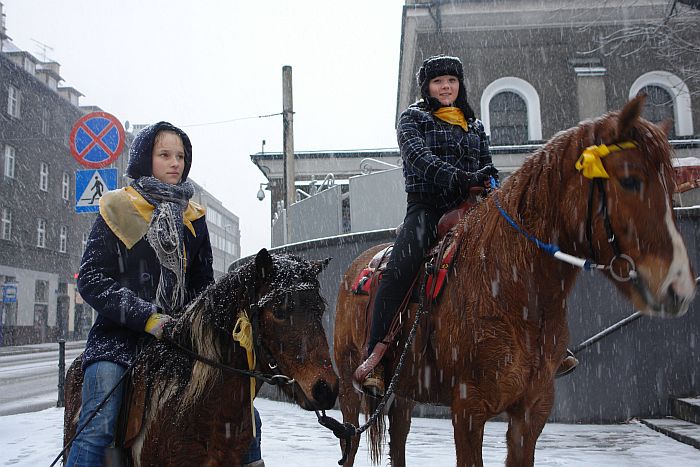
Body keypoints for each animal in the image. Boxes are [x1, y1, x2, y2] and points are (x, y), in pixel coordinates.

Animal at [332, 96, 696, 467]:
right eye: (630, 180)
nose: (678, 288)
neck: (513, 290)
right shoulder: (468, 409)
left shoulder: (532, 410)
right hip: (349, 386)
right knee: (351, 439)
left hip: (402, 391)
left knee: (399, 440)